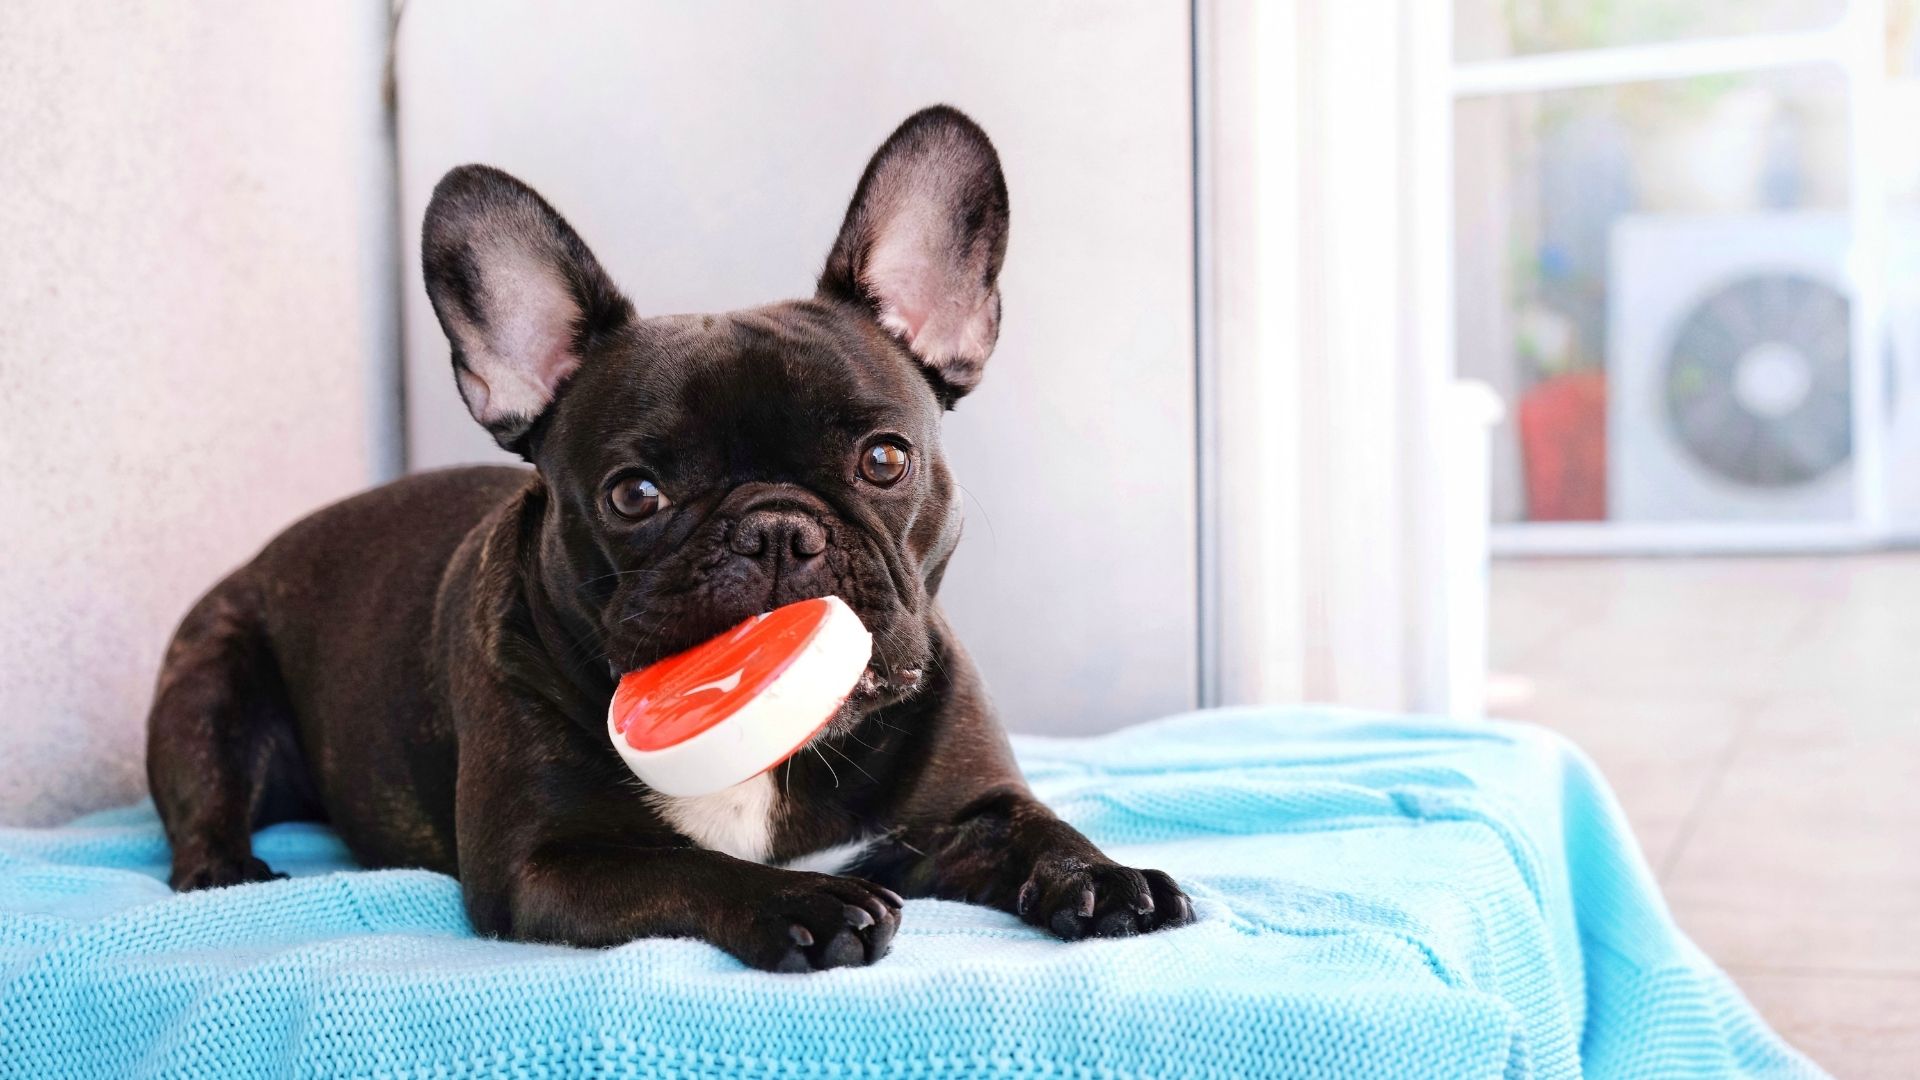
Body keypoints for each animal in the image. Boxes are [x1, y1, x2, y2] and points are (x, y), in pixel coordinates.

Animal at [145, 107, 1182, 968]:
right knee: (204, 803)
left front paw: (1104, 878)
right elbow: (684, 868)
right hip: (208, 683)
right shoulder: (547, 864)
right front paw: (804, 902)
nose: (775, 530)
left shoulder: (970, 810)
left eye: (885, 460)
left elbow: (1037, 826)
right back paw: (226, 874)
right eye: (634, 494)